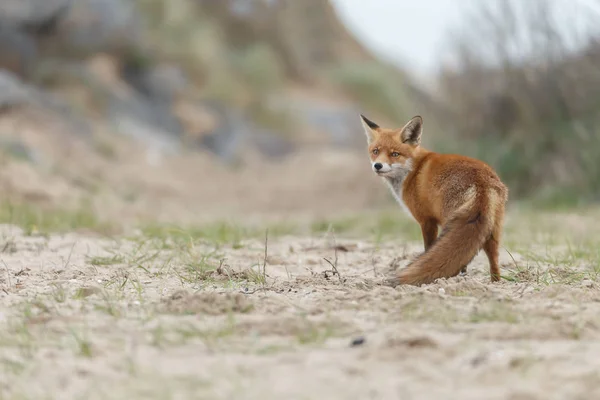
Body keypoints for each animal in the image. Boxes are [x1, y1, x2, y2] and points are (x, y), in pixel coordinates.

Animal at [360, 114, 506, 286]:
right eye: (375, 151)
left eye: (395, 154)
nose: (377, 165)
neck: (412, 171)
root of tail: (481, 181)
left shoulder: (427, 220)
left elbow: (428, 248)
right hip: (493, 229)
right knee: (493, 259)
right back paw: (494, 283)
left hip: (449, 220)